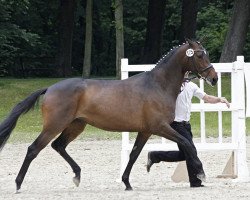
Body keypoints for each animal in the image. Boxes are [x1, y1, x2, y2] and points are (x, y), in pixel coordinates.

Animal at [0, 39, 217, 192]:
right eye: (199, 55)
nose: (214, 78)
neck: (158, 85)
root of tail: (50, 88)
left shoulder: (145, 131)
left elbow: (134, 154)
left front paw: (127, 183)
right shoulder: (160, 127)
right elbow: (187, 143)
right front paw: (201, 173)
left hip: (76, 125)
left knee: (58, 145)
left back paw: (77, 175)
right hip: (54, 125)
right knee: (33, 149)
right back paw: (18, 184)